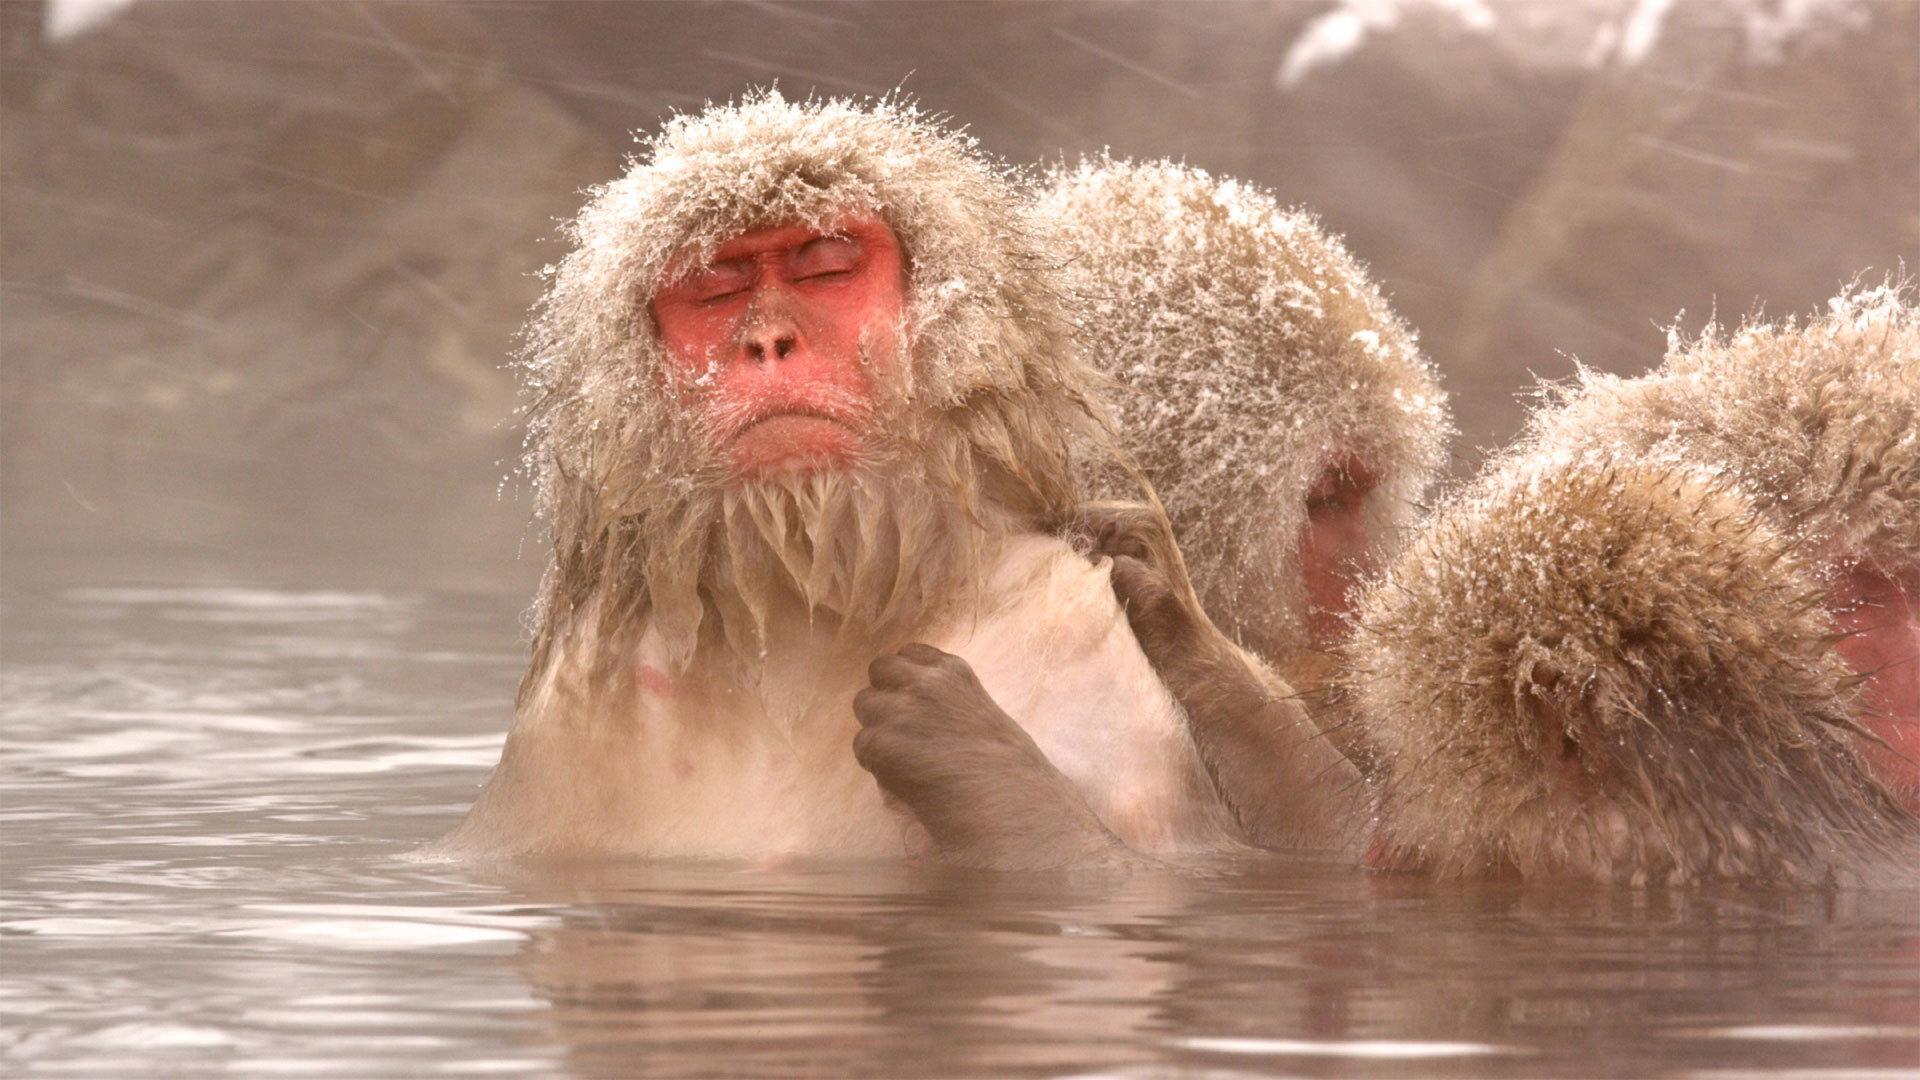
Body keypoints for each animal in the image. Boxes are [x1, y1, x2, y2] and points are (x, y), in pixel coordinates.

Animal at [433, 92, 1281, 867]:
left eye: (828, 267)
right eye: (717, 287)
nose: (769, 342)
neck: (818, 609)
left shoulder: (1096, 653)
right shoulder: (562, 721)